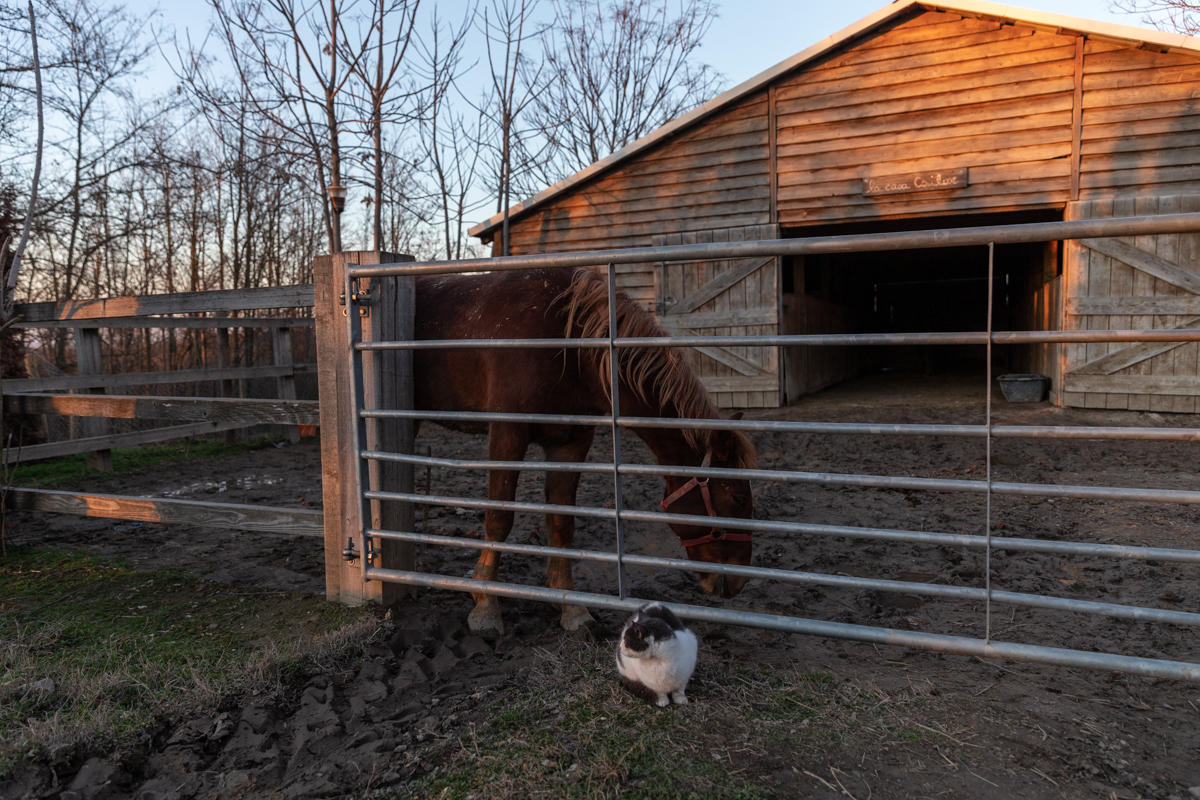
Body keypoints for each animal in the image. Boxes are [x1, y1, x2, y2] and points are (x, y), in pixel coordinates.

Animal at [413, 267, 758, 638]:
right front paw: (486, 605)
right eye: (739, 499)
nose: (739, 581)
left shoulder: (571, 442)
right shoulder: (508, 433)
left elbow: (561, 522)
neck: (569, 344)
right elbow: (499, 518)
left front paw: (571, 607)